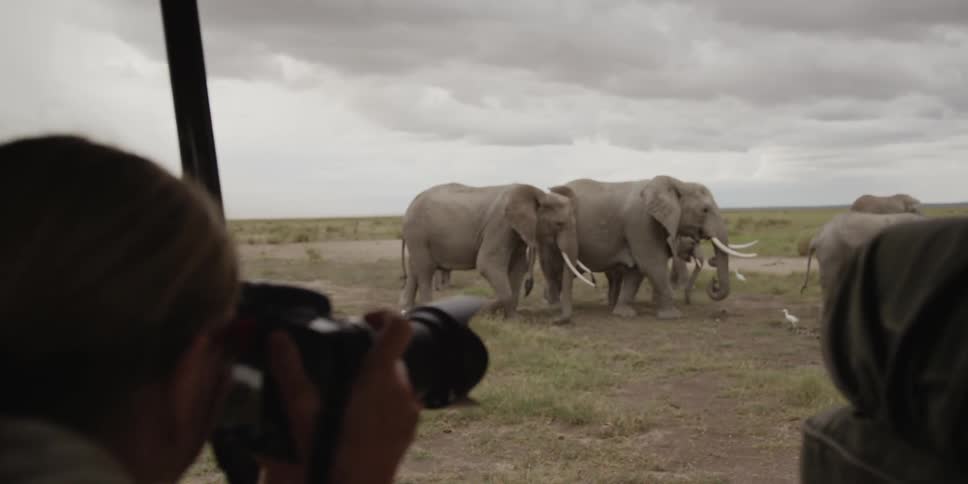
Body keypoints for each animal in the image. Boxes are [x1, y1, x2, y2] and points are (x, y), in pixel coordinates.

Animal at [399, 182, 594, 319]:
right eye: (559, 224)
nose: (556, 320)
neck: (538, 193)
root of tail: (412, 202)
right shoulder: (500, 224)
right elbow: (487, 264)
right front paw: (481, 310)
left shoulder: (517, 231)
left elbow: (518, 268)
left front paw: (513, 320)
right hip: (418, 233)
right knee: (425, 270)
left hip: (416, 236)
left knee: (415, 269)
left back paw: (406, 310)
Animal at [539, 176, 758, 323]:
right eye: (704, 210)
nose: (713, 284)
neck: (677, 182)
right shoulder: (641, 221)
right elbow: (651, 263)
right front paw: (672, 316)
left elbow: (636, 270)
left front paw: (624, 313)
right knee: (552, 269)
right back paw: (553, 305)